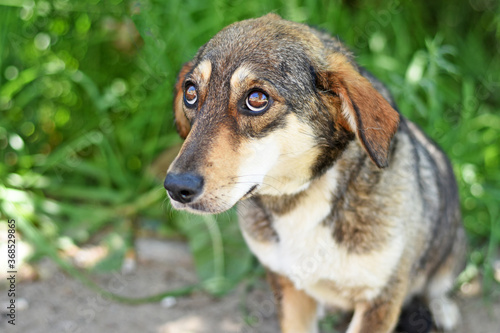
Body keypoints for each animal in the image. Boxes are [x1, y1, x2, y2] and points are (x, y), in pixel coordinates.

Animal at [163, 13, 464, 332]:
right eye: (190, 93)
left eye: (257, 99)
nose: (176, 187)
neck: (303, 196)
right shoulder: (288, 287)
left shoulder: (380, 299)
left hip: (452, 252)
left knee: (436, 287)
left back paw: (443, 309)